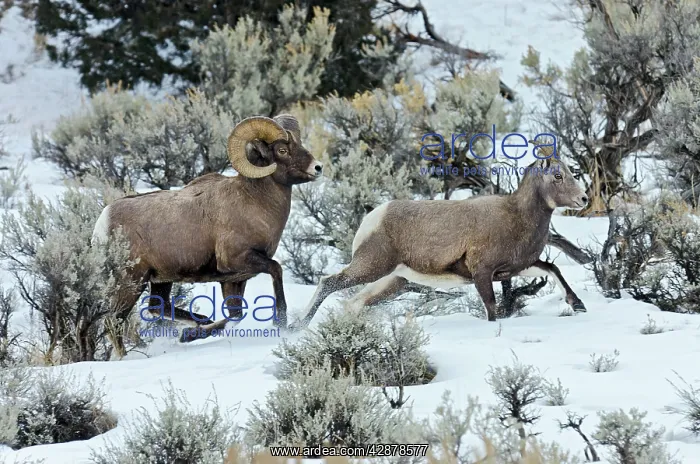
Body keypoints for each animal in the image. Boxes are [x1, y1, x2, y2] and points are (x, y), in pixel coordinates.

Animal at [92, 114, 323, 342]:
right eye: (282, 150)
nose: (317, 167)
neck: (254, 201)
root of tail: (102, 223)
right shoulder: (239, 259)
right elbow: (276, 269)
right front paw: (281, 323)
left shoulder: (235, 279)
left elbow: (236, 315)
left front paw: (190, 335)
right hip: (132, 282)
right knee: (114, 322)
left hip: (160, 279)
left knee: (158, 307)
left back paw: (198, 322)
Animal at [292, 145, 588, 328]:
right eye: (558, 176)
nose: (584, 199)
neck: (516, 216)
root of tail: (372, 218)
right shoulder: (482, 273)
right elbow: (491, 309)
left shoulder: (515, 269)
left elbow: (552, 269)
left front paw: (579, 306)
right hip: (371, 267)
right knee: (329, 283)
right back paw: (297, 326)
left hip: (391, 281)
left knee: (355, 302)